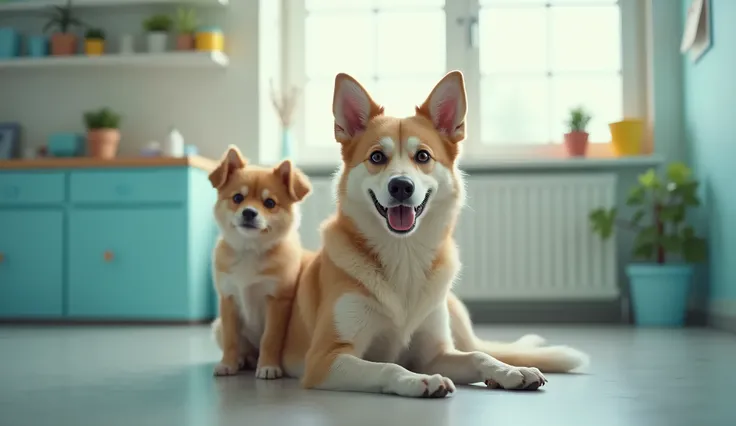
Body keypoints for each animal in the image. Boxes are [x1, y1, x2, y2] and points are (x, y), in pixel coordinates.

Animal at [207, 146, 310, 380]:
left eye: (269, 203)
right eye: (238, 198)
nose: (248, 212)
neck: (250, 251)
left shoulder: (277, 301)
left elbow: (269, 339)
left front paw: (268, 366)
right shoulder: (228, 299)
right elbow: (231, 339)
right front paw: (227, 363)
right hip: (217, 327)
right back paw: (242, 359)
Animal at [278, 71, 588, 398]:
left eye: (423, 156)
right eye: (377, 157)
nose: (401, 186)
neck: (404, 255)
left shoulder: (434, 354)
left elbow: (478, 357)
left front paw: (508, 371)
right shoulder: (325, 358)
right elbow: (387, 366)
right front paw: (417, 380)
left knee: (481, 347)